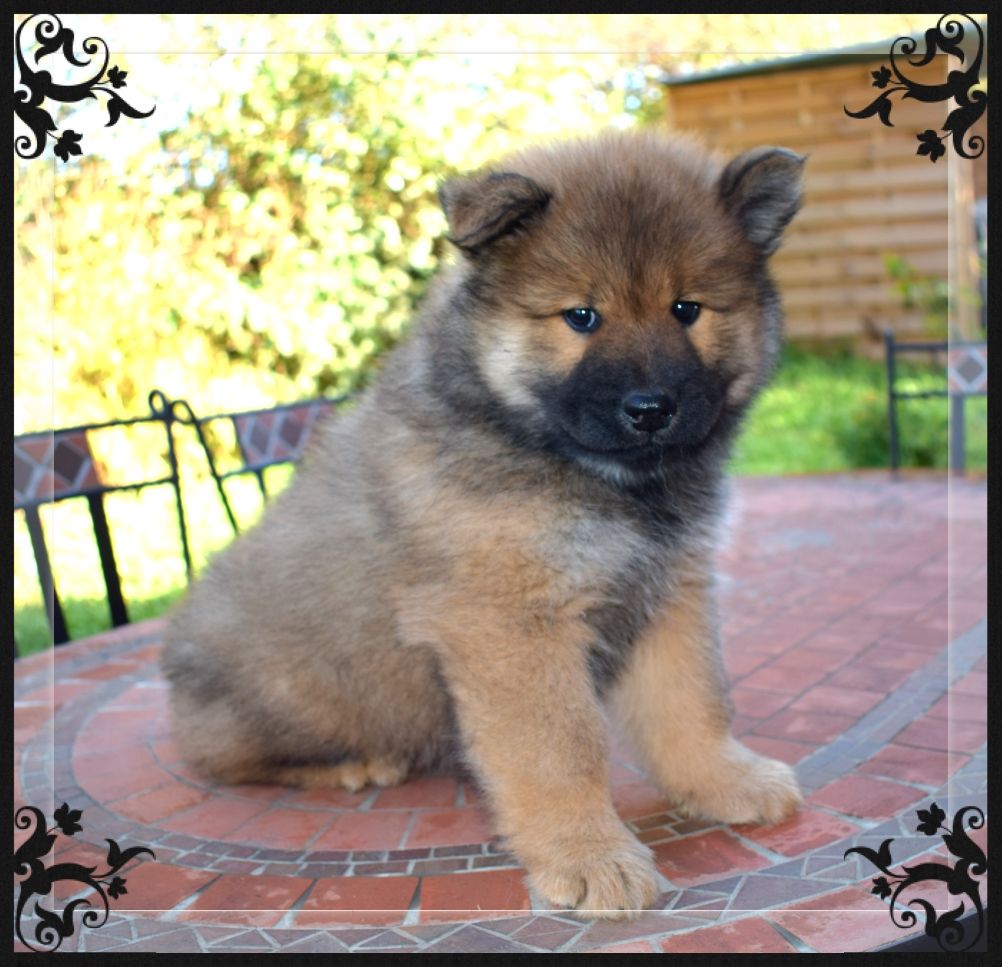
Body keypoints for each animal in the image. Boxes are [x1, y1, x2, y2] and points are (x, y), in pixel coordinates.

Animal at [161, 130, 805, 919]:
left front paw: (722, 781)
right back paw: (353, 765)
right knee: (224, 756)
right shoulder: (510, 622)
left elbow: (692, 704)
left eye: (688, 307)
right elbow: (561, 749)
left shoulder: (666, 591)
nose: (651, 407)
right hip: (296, 694)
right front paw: (590, 855)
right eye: (581, 316)